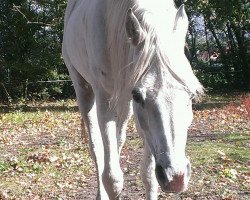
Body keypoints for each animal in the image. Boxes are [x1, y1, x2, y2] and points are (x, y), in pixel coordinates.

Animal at [62, 0, 203, 199]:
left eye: (191, 94)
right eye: (138, 96)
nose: (176, 178)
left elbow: (149, 176)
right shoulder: (106, 99)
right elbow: (112, 179)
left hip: (123, 104)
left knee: (117, 141)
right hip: (83, 90)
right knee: (96, 149)